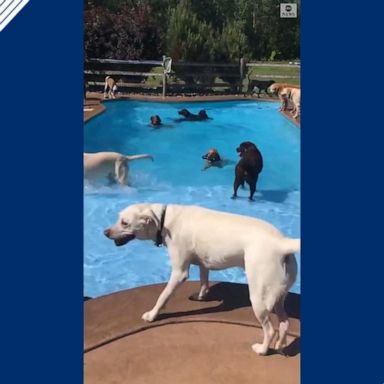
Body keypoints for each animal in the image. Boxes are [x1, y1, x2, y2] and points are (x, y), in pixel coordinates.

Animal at [104, 202, 300, 356]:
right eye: (118, 218)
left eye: (124, 222)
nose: (105, 232)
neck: (164, 219)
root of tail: (281, 243)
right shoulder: (203, 262)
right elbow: (204, 280)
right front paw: (201, 296)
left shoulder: (179, 272)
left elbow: (163, 296)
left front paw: (152, 315)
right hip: (277, 296)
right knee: (284, 323)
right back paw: (280, 346)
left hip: (259, 297)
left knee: (270, 329)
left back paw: (263, 350)